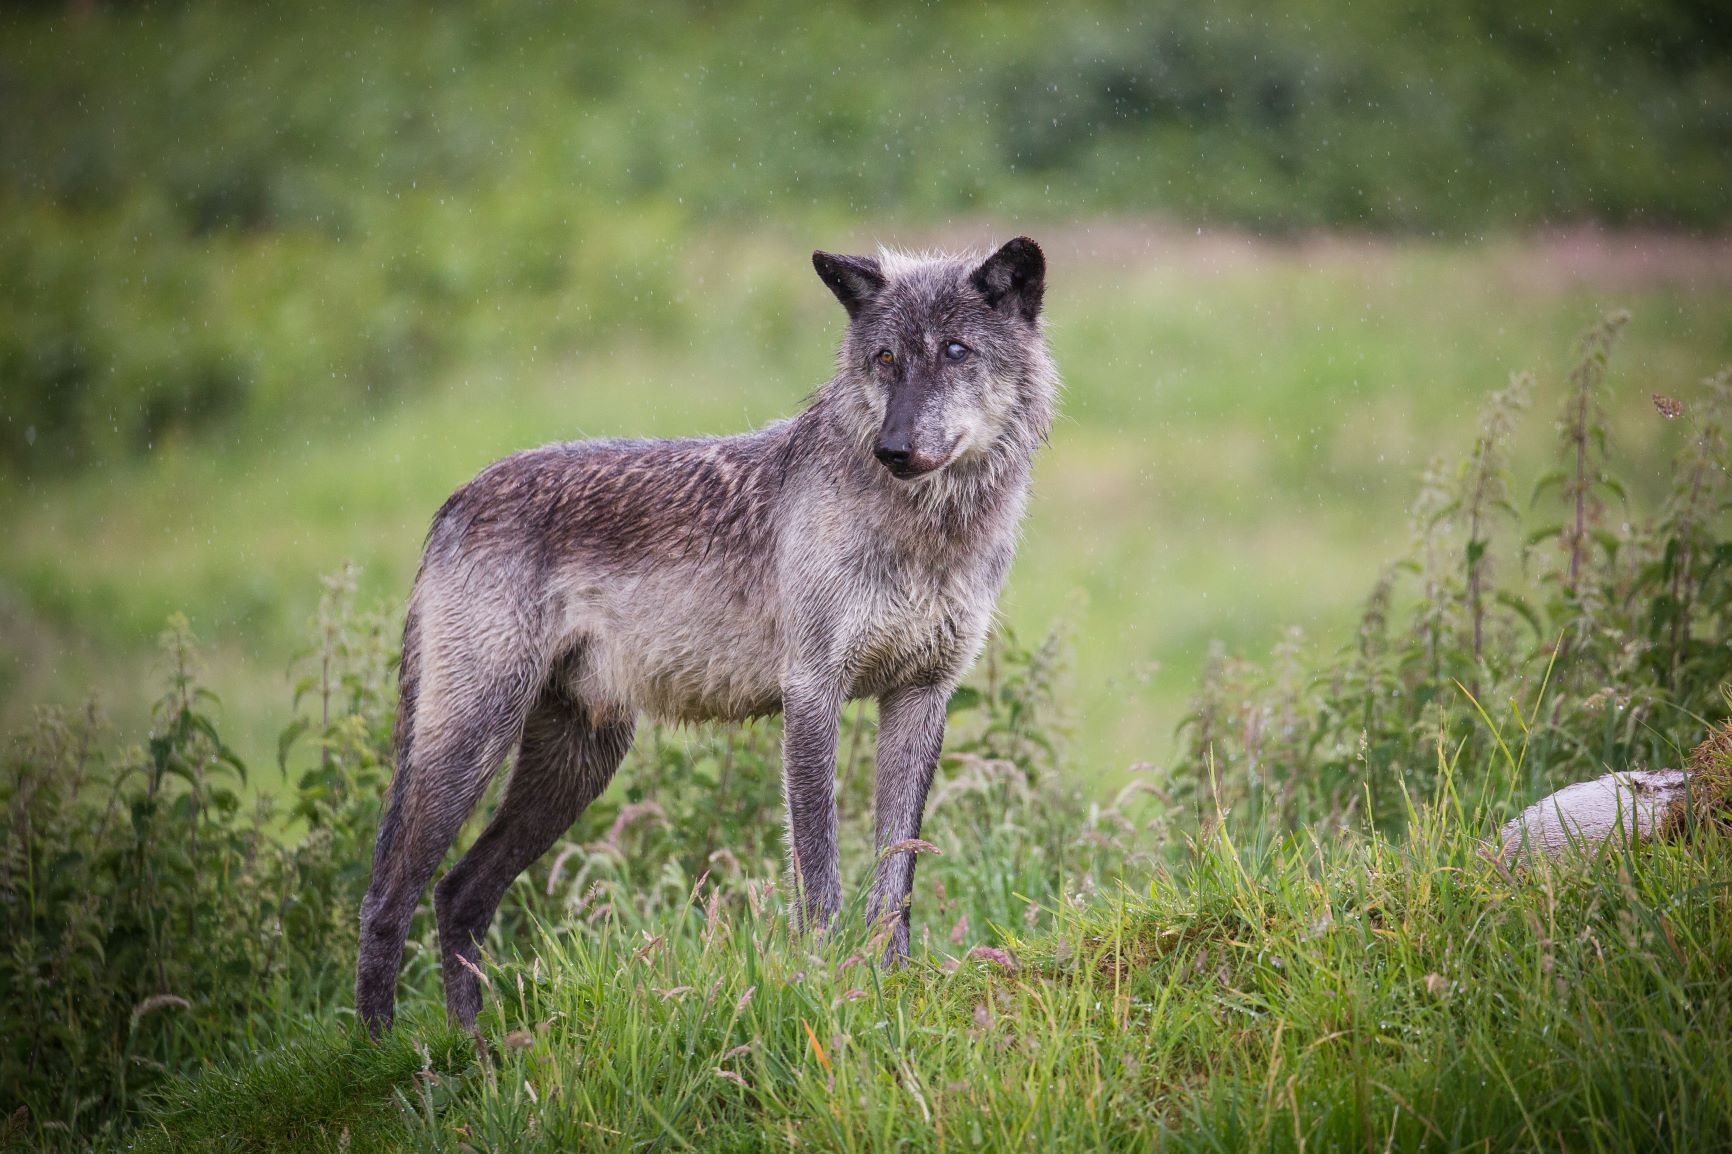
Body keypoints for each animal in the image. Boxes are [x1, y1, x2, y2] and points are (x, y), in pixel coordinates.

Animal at [355, 237, 1057, 1033]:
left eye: (956, 350)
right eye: (885, 359)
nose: (894, 447)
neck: (930, 530)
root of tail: (454, 501)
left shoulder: (921, 696)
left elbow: (895, 879)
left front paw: (892, 989)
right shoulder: (812, 694)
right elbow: (820, 877)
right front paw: (828, 989)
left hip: (575, 765)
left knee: (459, 895)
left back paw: (478, 1048)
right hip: (475, 743)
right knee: (388, 900)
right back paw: (387, 1053)